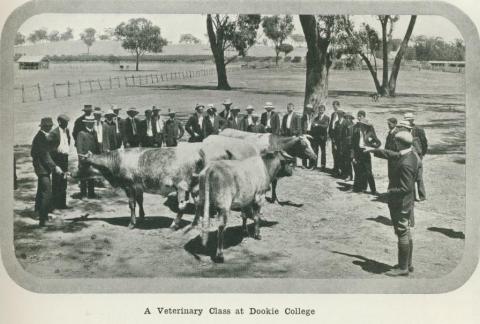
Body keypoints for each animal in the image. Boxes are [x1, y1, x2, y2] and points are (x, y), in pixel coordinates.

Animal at [79, 138, 260, 229]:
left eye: (83, 164)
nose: (74, 175)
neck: (116, 161)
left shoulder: (128, 185)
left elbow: (131, 204)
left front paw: (132, 223)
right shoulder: (138, 186)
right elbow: (140, 201)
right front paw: (142, 216)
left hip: (181, 186)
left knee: (182, 206)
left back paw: (175, 224)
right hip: (194, 186)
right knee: (199, 203)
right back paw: (196, 222)